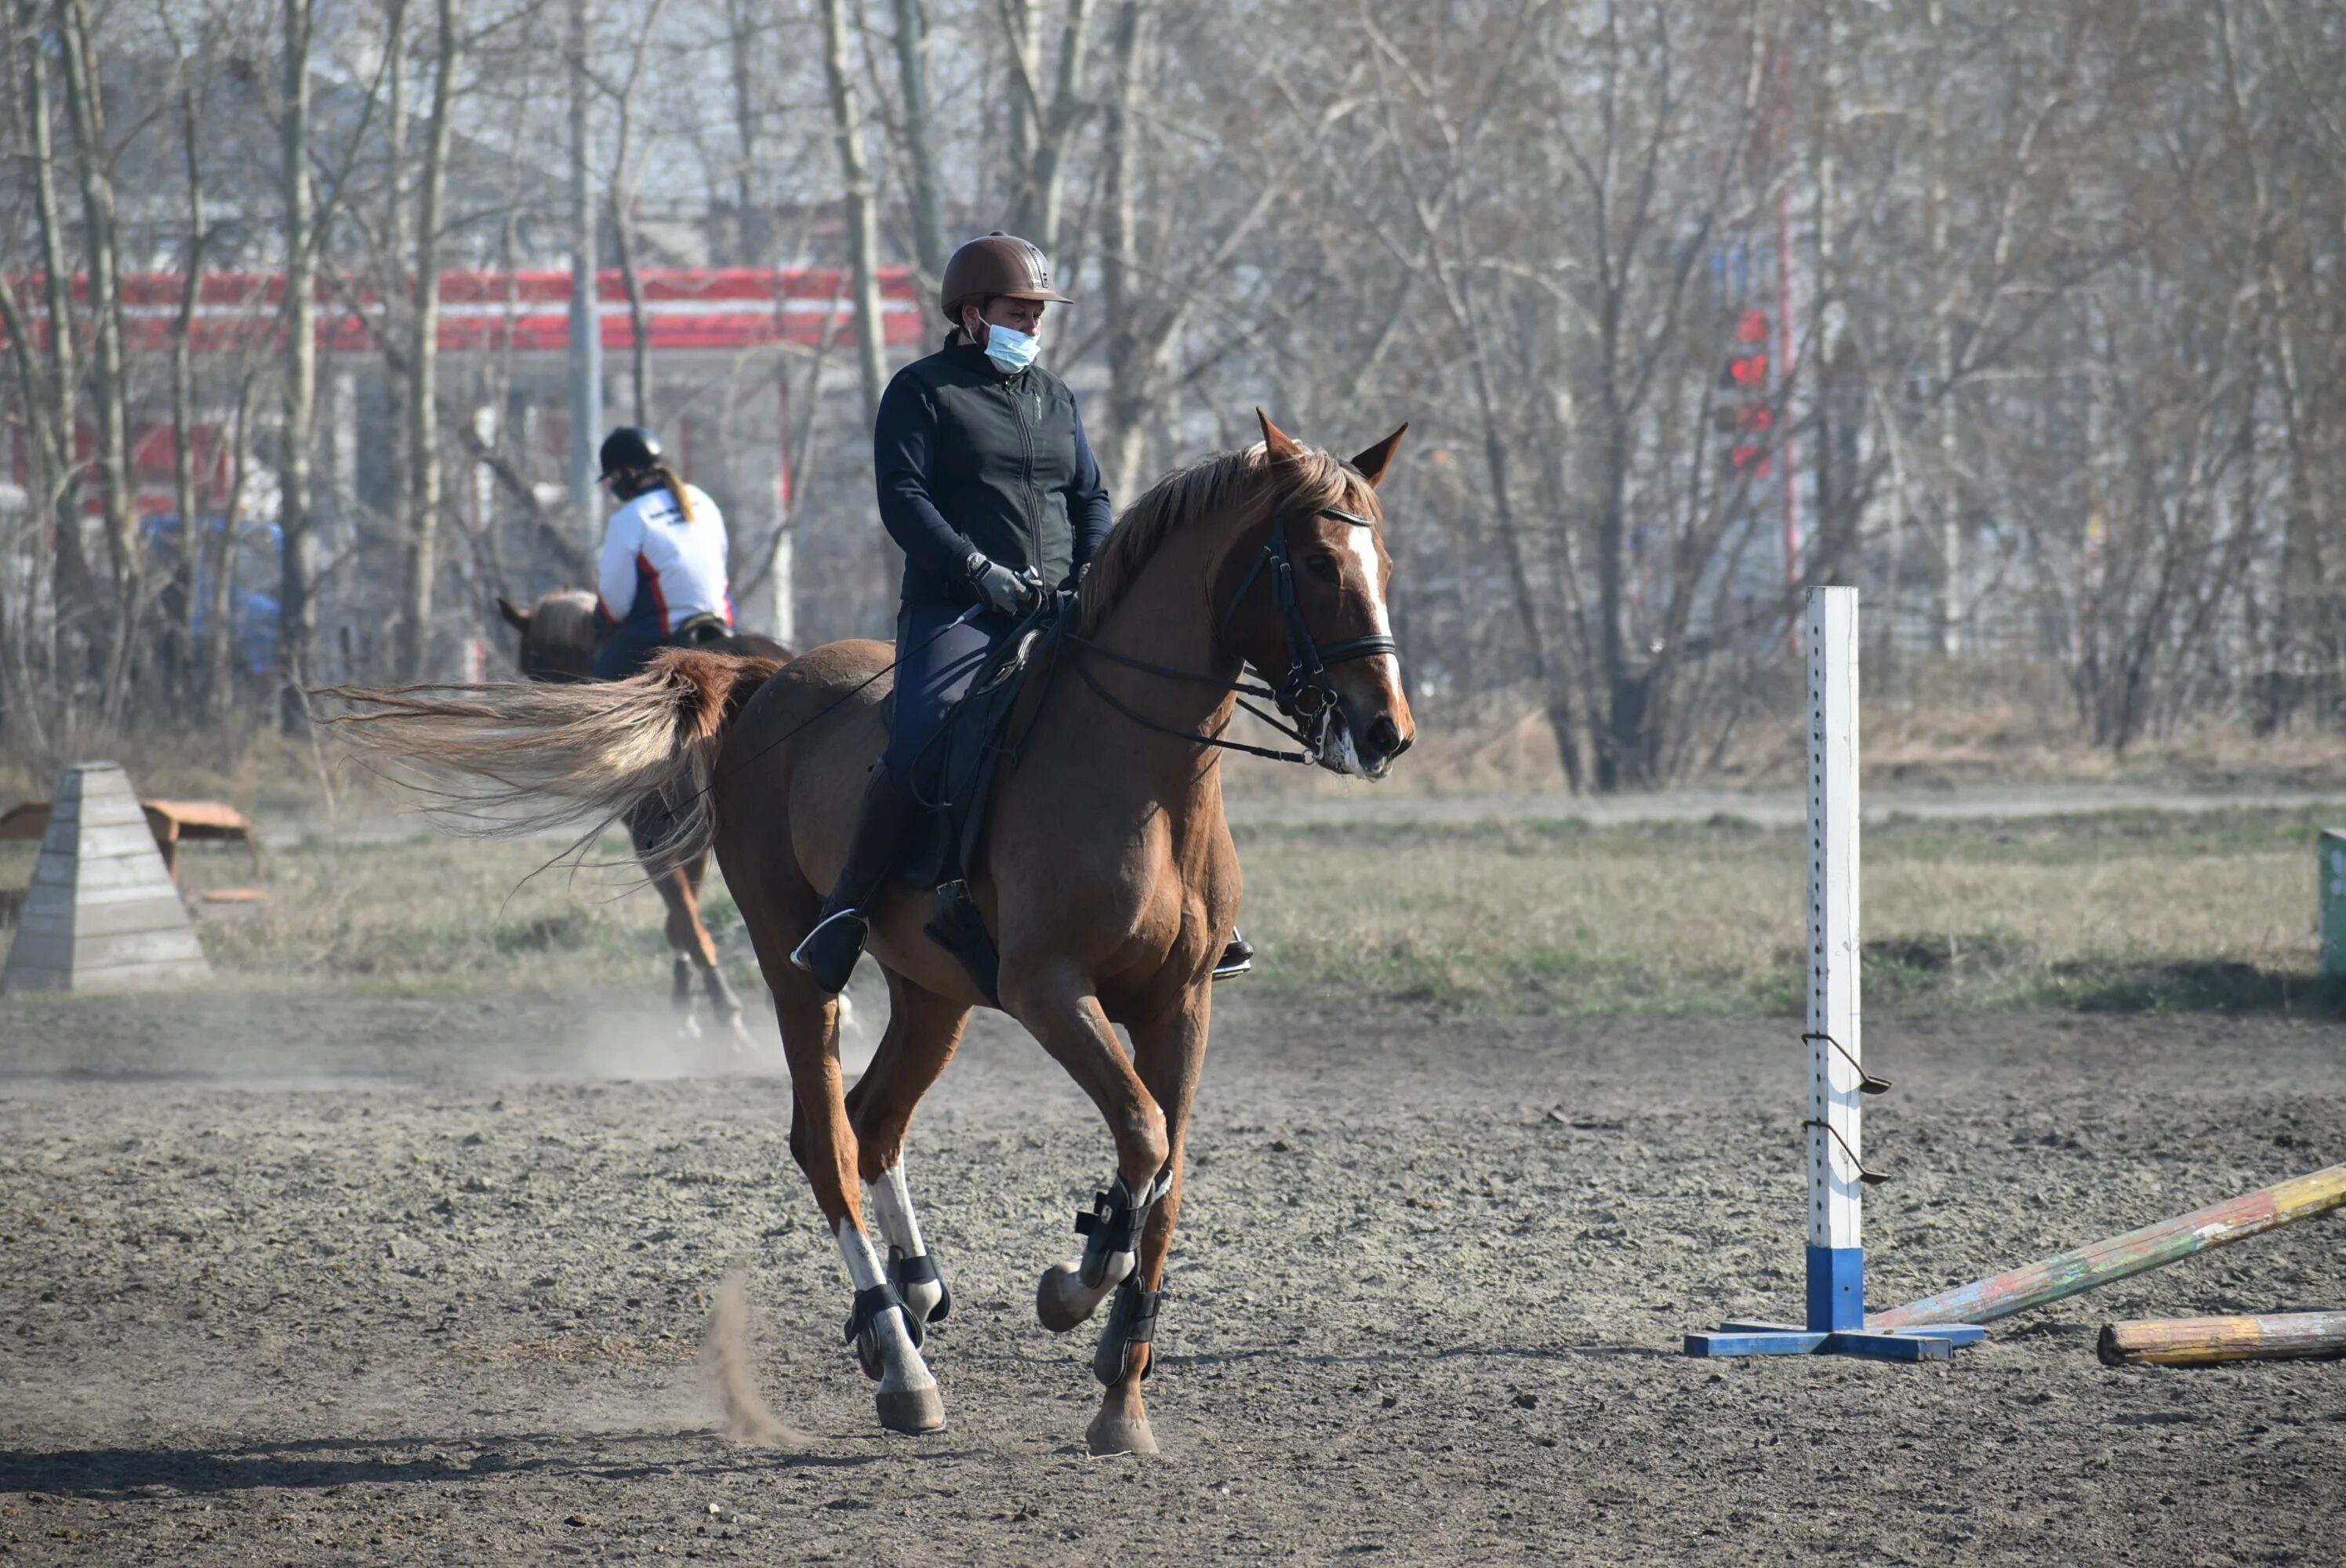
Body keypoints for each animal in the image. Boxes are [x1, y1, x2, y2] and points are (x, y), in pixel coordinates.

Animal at [490, 586, 793, 1042]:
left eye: (534, 659)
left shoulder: (652, 839)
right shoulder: (693, 842)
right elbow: (683, 919)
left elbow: (685, 920)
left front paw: (713, 1006)